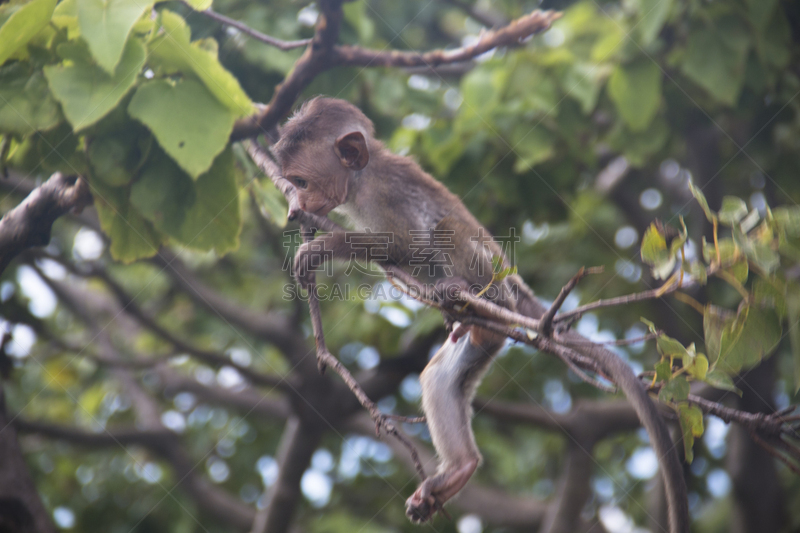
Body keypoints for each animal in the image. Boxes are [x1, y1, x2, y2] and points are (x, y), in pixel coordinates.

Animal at [272, 95, 516, 520]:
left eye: (303, 182)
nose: (298, 202)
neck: (362, 178)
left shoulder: (385, 195)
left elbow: (404, 243)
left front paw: (321, 249)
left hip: (495, 283)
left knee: (448, 227)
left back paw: (463, 292)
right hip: (477, 340)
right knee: (438, 378)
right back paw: (459, 468)